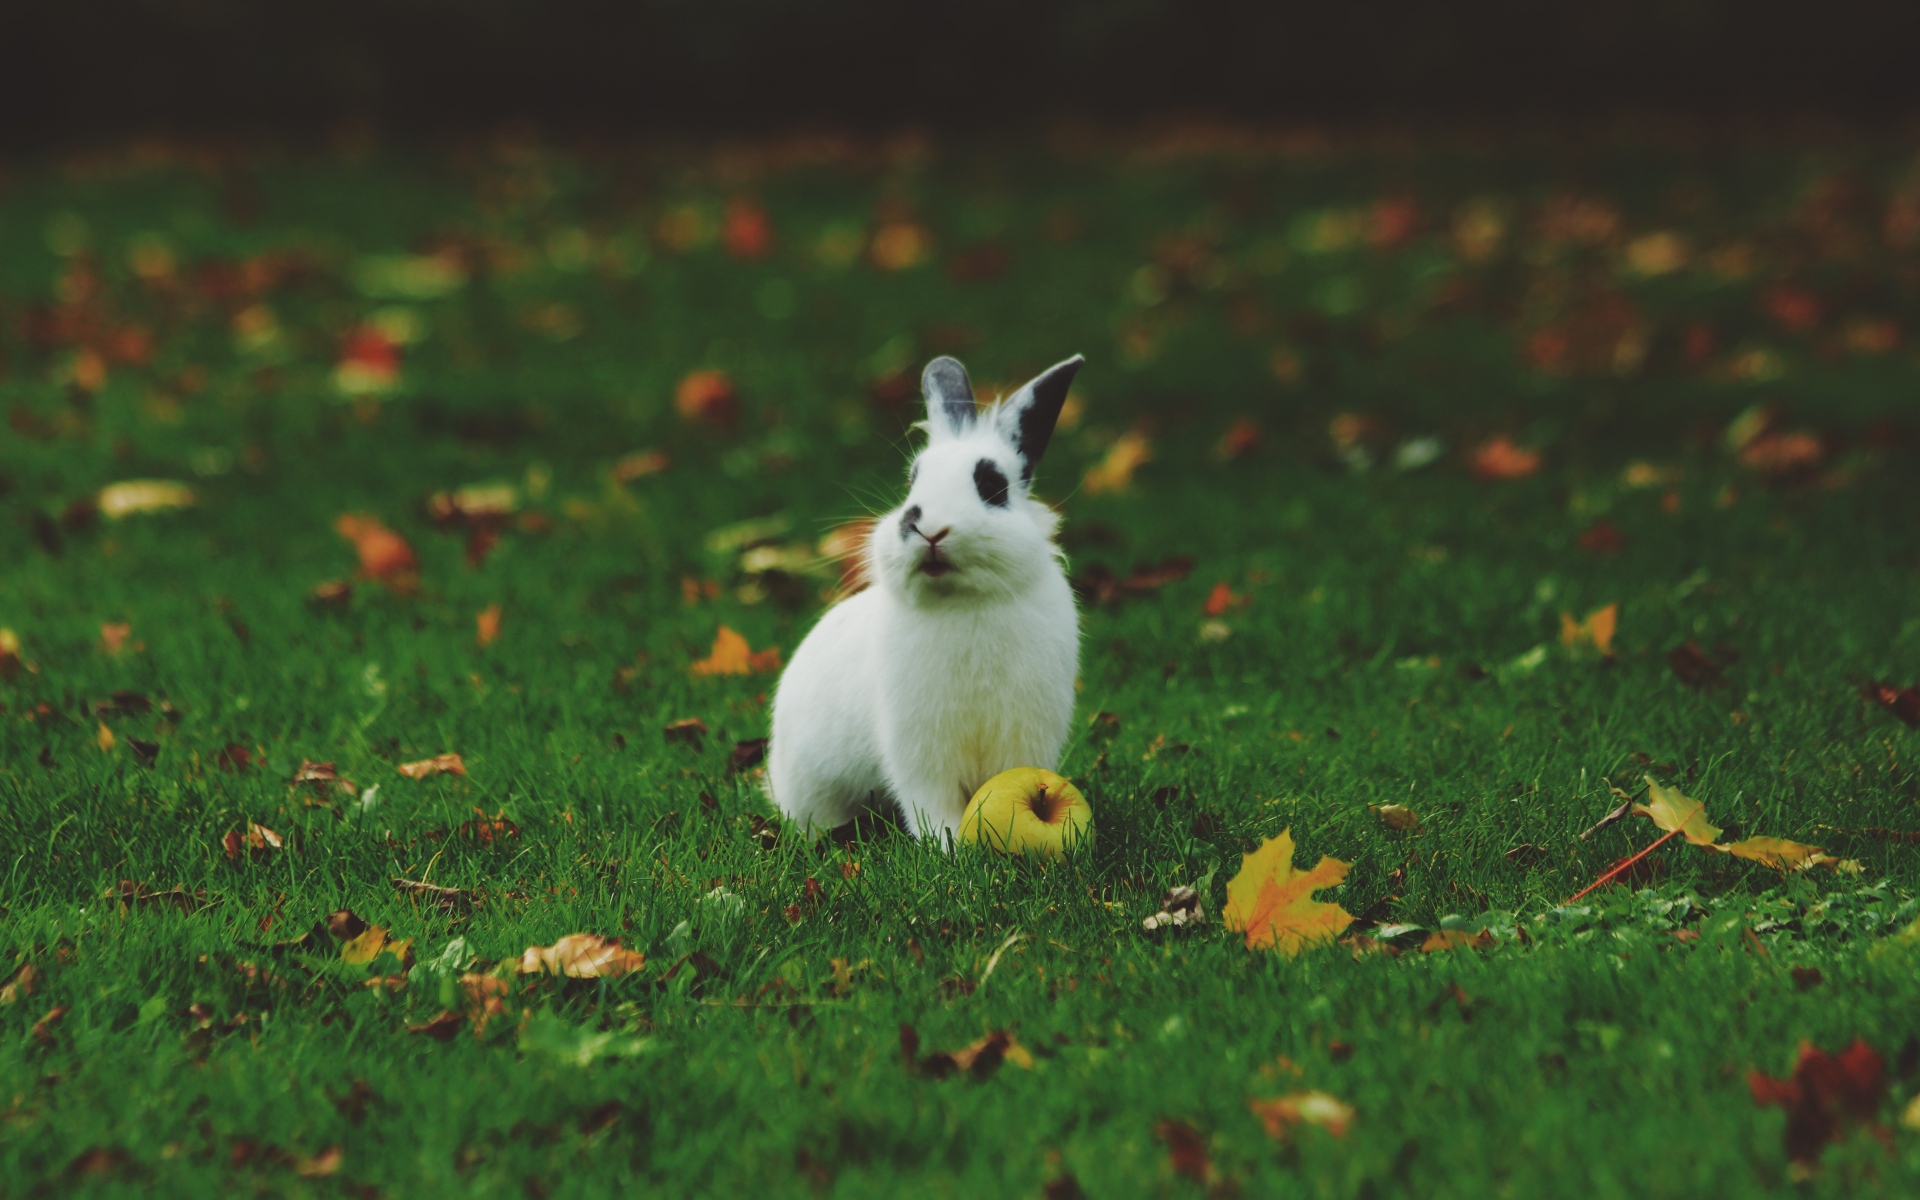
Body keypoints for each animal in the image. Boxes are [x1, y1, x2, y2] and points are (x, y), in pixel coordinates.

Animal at [767, 353, 1084, 846]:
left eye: (993, 486)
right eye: (912, 482)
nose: (927, 528)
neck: (965, 602)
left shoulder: (1022, 738)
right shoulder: (919, 749)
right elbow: (930, 801)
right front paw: (949, 846)